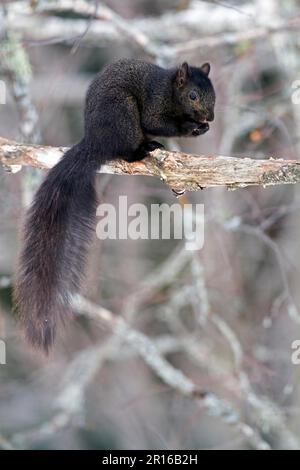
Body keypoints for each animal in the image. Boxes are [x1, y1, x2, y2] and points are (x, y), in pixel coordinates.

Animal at [14, 58, 216, 350]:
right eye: (192, 95)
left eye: (214, 93)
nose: (209, 118)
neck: (169, 90)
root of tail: (95, 141)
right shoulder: (154, 102)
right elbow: (156, 121)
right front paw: (190, 127)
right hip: (123, 112)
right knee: (127, 148)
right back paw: (143, 149)